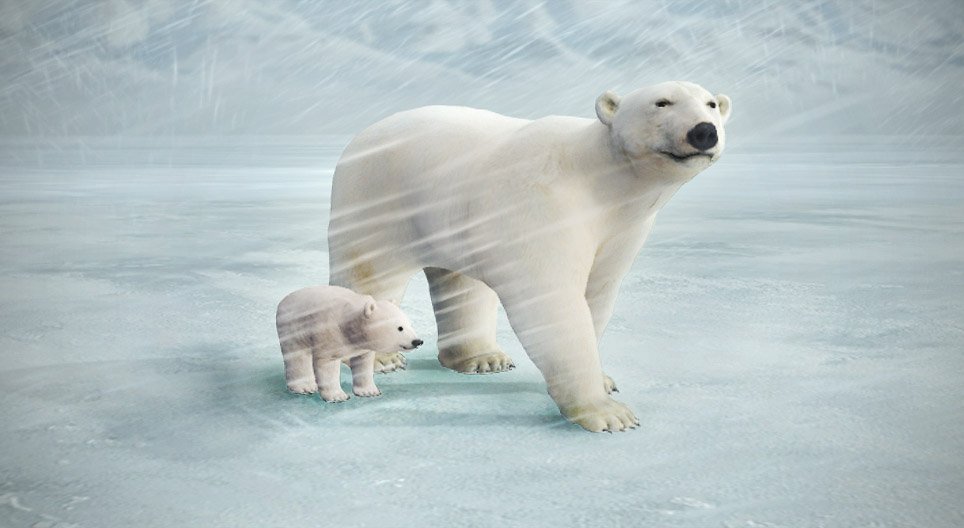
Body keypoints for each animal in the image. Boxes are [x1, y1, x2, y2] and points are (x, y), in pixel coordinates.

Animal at [276, 285, 422, 402]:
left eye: (410, 324)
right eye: (400, 328)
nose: (417, 341)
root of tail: (284, 300)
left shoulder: (362, 347)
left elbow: (363, 363)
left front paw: (369, 391)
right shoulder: (329, 333)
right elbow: (328, 365)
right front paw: (338, 396)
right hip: (292, 327)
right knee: (297, 356)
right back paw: (305, 387)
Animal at [327, 81, 731, 430]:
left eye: (711, 103)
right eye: (662, 102)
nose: (704, 131)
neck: (602, 181)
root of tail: (362, 134)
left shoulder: (622, 231)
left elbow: (597, 296)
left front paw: (604, 380)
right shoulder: (545, 207)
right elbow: (554, 304)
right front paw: (607, 413)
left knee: (462, 284)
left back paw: (482, 358)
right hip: (376, 198)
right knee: (372, 273)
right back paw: (382, 358)